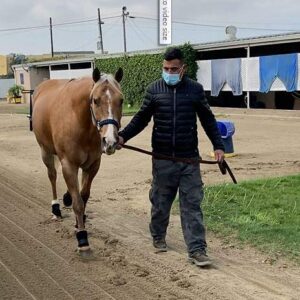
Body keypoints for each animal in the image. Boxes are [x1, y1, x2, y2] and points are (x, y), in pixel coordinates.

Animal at [31, 68, 123, 253]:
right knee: (52, 176)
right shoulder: (69, 164)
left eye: (121, 100)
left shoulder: (93, 165)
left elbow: (84, 196)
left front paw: (78, 222)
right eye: (95, 100)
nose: (110, 141)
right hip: (45, 151)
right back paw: (56, 209)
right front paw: (82, 238)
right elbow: (78, 203)